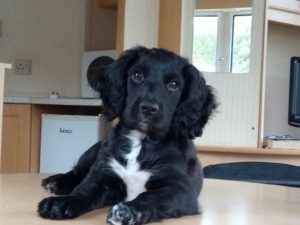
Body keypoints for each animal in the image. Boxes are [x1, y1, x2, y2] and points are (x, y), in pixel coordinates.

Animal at [37, 46, 217, 225]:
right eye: (137, 76)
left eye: (174, 85)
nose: (149, 108)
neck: (140, 141)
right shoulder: (103, 173)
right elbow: (84, 189)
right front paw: (62, 202)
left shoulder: (180, 188)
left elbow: (152, 196)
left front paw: (128, 211)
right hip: (94, 151)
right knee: (77, 172)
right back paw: (56, 182)